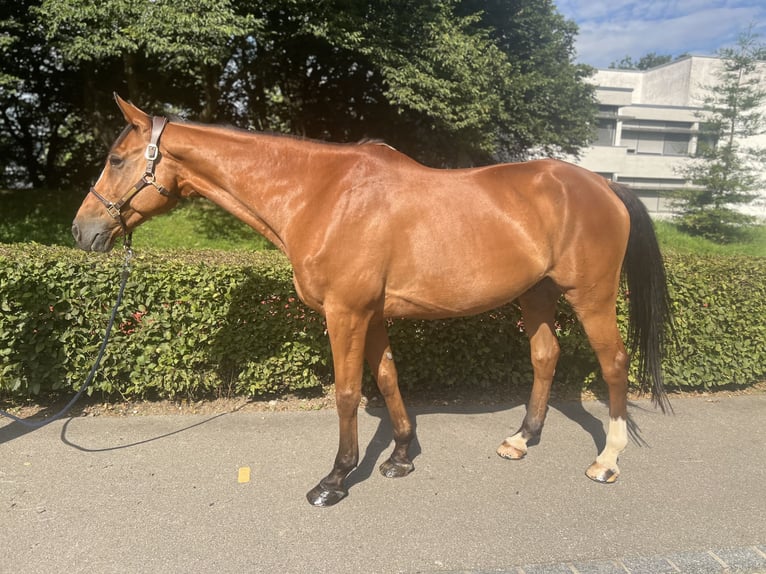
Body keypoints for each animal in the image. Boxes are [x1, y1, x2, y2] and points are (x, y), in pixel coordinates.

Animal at [72, 94, 672, 508]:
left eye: (117, 158)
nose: (82, 231)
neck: (322, 194)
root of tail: (604, 185)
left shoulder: (347, 313)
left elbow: (346, 393)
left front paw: (336, 478)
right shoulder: (373, 314)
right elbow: (387, 378)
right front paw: (402, 456)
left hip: (591, 297)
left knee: (614, 363)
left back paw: (607, 459)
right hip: (538, 294)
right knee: (545, 356)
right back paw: (522, 439)